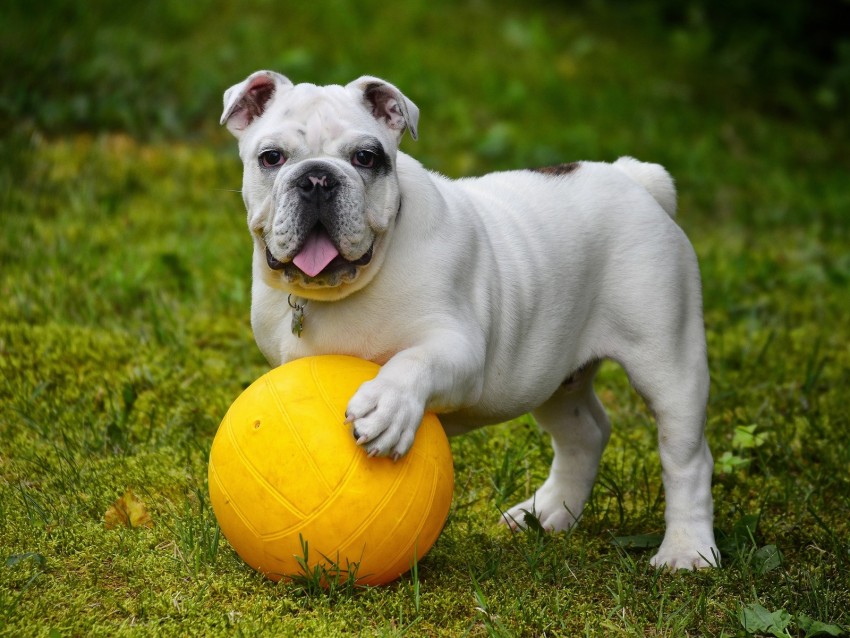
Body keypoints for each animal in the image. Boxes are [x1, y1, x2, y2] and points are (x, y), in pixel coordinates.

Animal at [219, 70, 716, 568]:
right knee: (584, 434)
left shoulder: (459, 350)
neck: (343, 289)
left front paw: (388, 406)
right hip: (552, 374)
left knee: (687, 458)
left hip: (667, 361)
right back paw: (548, 513)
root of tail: (633, 177)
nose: (318, 178)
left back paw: (687, 550)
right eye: (271, 157)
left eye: (365, 157)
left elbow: (413, 362)